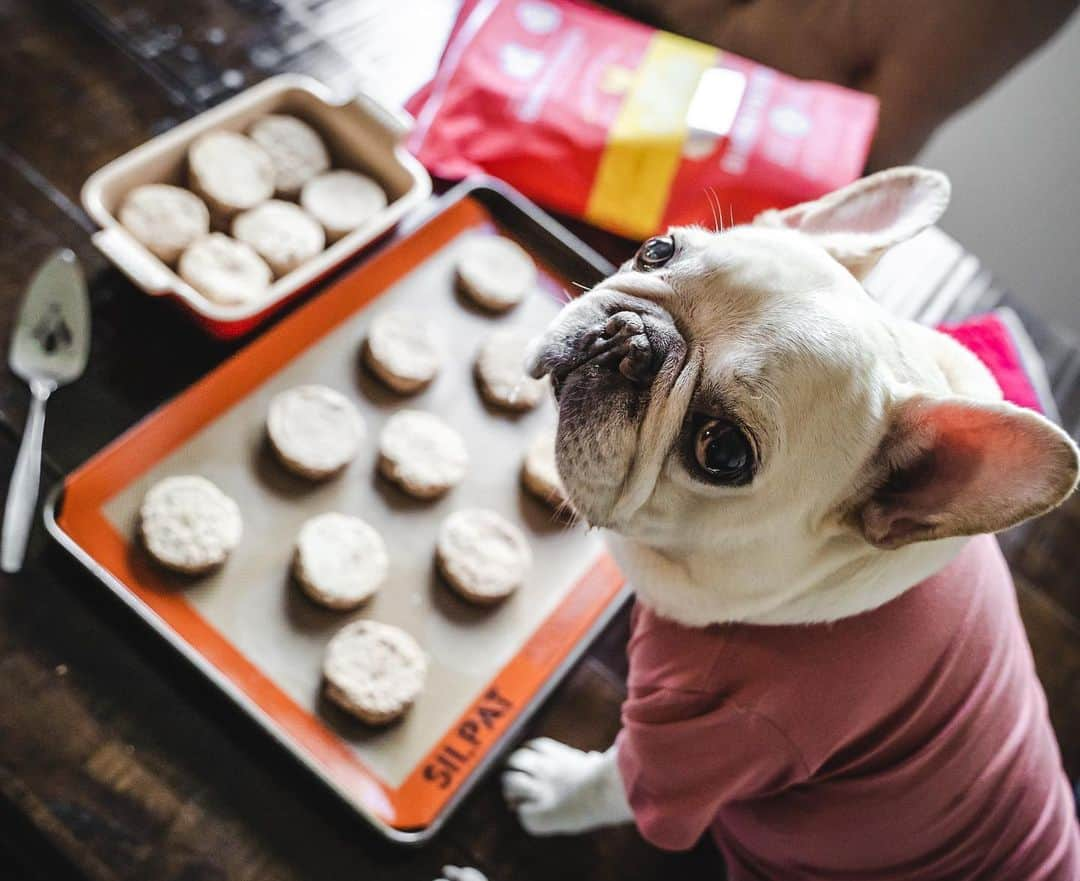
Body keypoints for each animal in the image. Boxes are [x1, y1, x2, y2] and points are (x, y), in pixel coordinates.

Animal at [481, 167, 1080, 881]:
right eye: (656, 250)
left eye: (722, 451)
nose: (631, 338)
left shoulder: (712, 738)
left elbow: (609, 783)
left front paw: (552, 789)